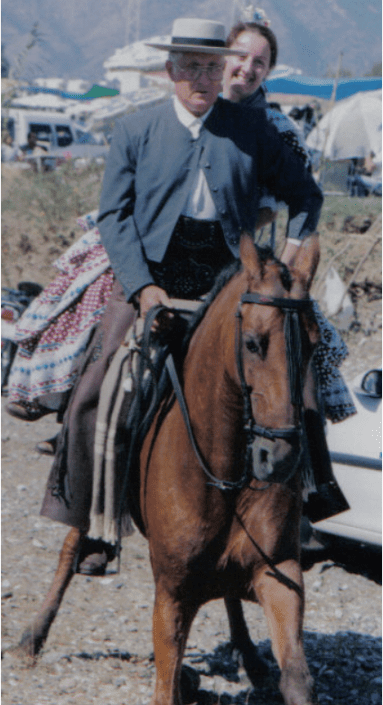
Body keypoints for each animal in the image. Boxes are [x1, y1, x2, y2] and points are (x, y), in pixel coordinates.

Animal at [10, 235, 320, 704]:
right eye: (252, 343)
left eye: (315, 345)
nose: (280, 456)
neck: (221, 472)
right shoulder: (172, 594)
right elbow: (166, 684)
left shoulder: (279, 572)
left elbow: (298, 679)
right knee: (70, 546)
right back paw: (33, 636)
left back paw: (248, 654)